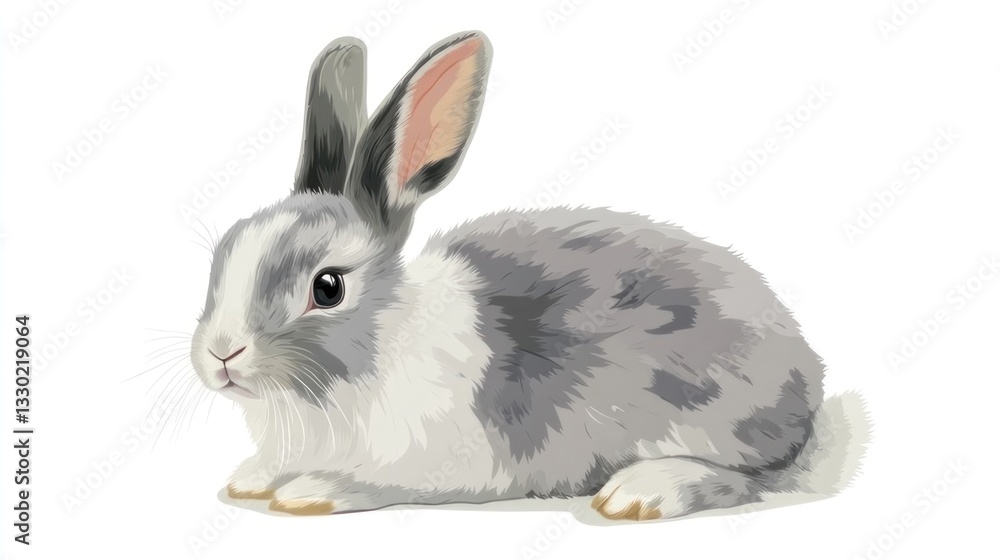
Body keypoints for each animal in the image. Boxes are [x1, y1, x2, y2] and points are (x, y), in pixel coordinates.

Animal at [190, 31, 869, 520]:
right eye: (222, 253)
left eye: (327, 288)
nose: (220, 355)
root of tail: (808, 378)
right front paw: (250, 480)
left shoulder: (448, 464)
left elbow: (377, 482)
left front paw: (313, 490)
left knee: (750, 478)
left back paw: (643, 491)